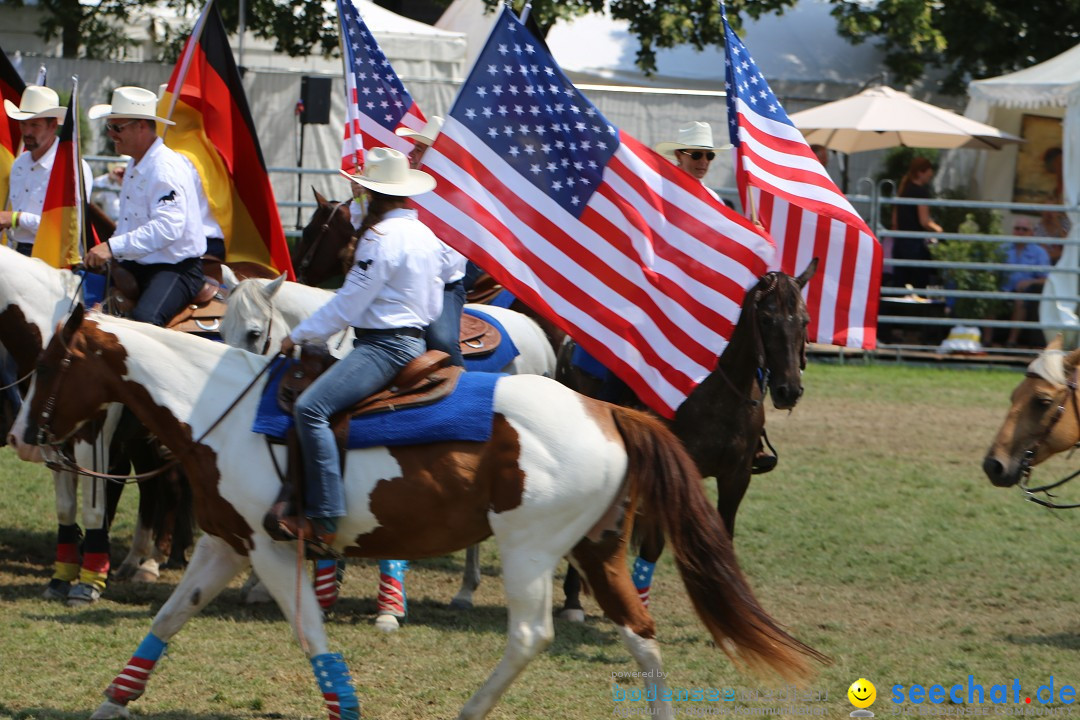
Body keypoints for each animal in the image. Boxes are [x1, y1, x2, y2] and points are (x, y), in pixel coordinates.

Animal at [10, 310, 825, 720]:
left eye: (50, 365)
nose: (20, 436)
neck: (221, 409)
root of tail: (609, 412)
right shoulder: (225, 544)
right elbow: (166, 620)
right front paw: (109, 707)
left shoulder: (272, 551)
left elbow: (312, 638)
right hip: (600, 550)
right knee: (643, 638)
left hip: (532, 552)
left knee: (531, 636)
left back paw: (469, 711)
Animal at [557, 262, 816, 617]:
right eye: (766, 318)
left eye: (803, 321)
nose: (789, 390)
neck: (717, 391)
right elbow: (654, 546)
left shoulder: (736, 477)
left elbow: (725, 538)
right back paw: (572, 600)